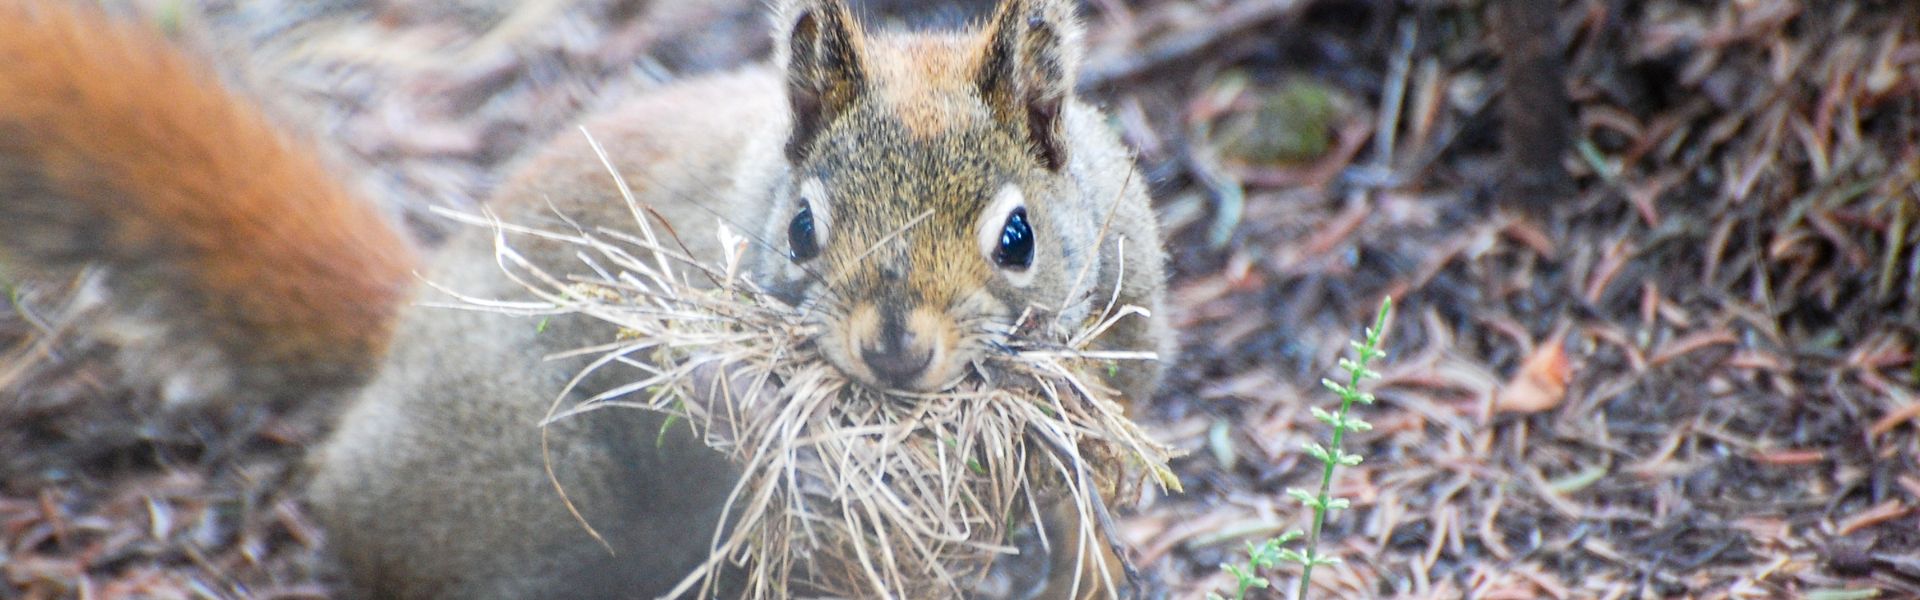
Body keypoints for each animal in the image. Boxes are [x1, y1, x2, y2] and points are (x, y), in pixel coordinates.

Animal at [1, 0, 1172, 598]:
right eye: (801, 229)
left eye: (1018, 238)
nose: (892, 345)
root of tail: (407, 329)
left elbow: (1078, 503)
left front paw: (1094, 570)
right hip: (525, 478)